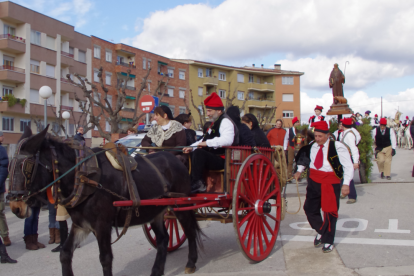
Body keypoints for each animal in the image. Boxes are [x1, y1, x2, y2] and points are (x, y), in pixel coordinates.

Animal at [8, 127, 203, 276]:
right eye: (10, 165)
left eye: (26, 165)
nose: (15, 206)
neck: (83, 176)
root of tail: (175, 159)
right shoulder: (81, 225)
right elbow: (65, 253)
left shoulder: (102, 225)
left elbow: (105, 258)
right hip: (155, 212)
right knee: (163, 239)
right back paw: (157, 271)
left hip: (181, 205)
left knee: (190, 231)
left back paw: (191, 263)